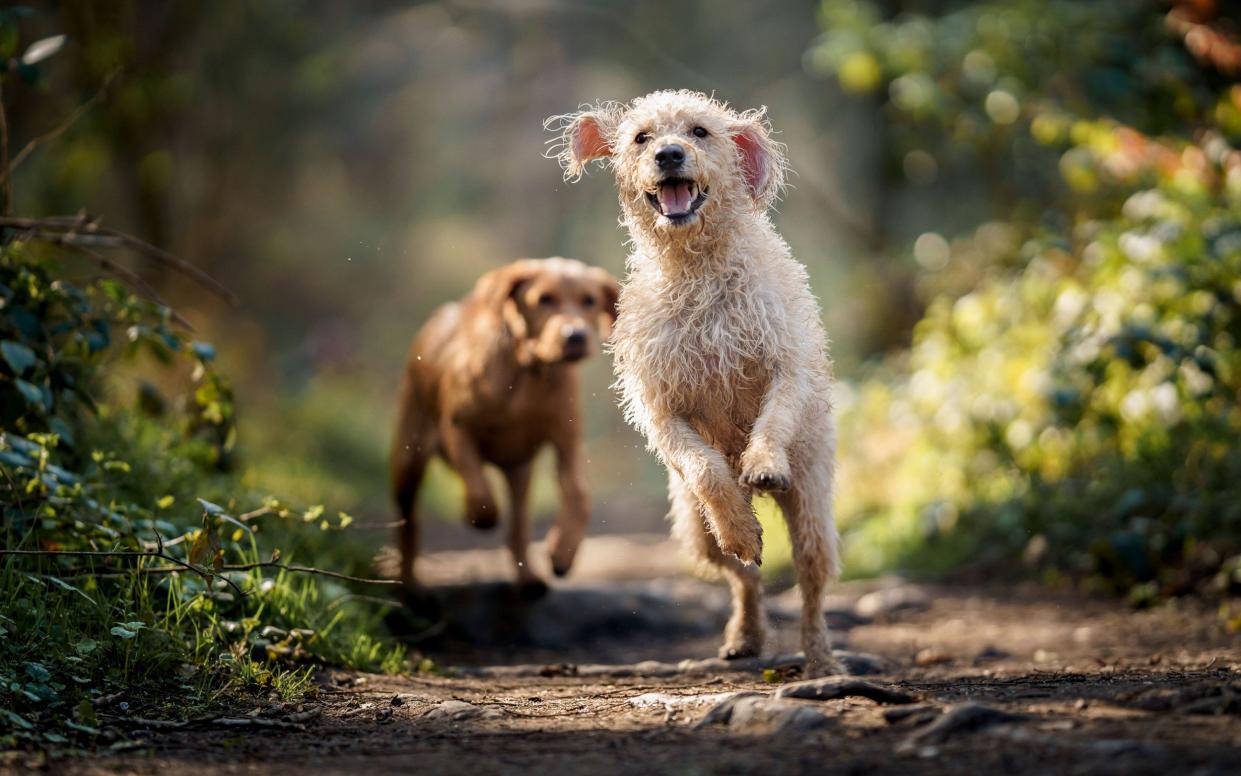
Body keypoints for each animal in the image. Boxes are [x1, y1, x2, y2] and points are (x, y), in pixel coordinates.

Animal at [389, 257, 618, 595]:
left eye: (589, 300)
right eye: (544, 299)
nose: (575, 336)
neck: (528, 370)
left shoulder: (568, 441)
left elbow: (579, 494)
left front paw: (563, 551)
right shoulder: (457, 428)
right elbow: (480, 491)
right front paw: (475, 515)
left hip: (520, 473)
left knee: (519, 525)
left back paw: (529, 579)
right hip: (408, 458)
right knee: (408, 523)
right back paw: (408, 584)